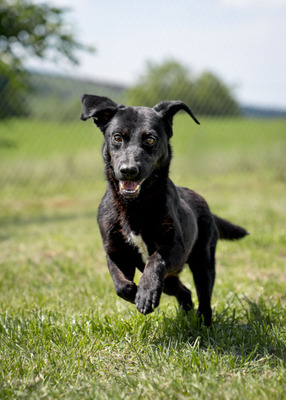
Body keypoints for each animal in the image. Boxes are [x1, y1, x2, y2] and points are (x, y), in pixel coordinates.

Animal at [79, 94, 247, 324]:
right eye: (117, 137)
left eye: (150, 139)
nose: (128, 171)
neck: (135, 206)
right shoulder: (114, 252)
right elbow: (120, 284)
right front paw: (136, 293)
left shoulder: (175, 247)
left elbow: (155, 260)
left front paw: (145, 293)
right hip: (170, 280)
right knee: (185, 292)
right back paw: (184, 314)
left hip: (202, 262)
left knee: (204, 296)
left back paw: (203, 323)